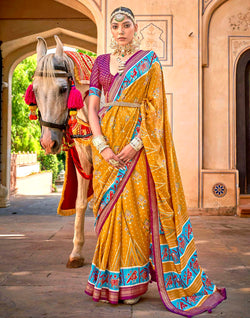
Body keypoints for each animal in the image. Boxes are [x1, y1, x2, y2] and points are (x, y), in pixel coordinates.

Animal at [32, 35, 93, 268]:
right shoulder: (84, 159)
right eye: (35, 90)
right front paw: (76, 252)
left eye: (62, 89)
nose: (48, 142)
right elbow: (81, 203)